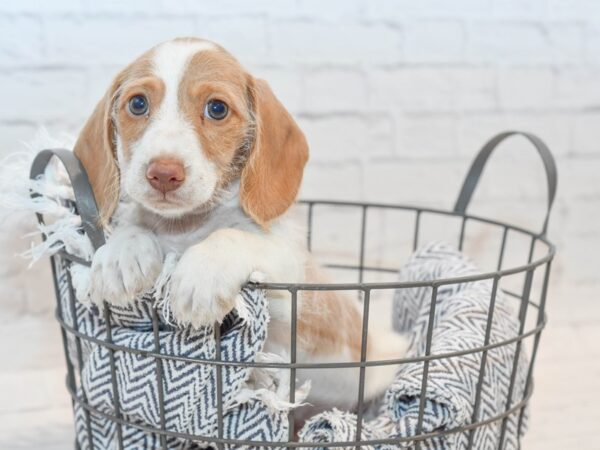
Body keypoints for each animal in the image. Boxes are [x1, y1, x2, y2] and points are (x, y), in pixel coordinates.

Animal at [72, 38, 406, 422]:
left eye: (217, 108)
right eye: (138, 103)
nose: (163, 173)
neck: (188, 226)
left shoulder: (290, 283)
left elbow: (234, 237)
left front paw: (201, 275)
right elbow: (135, 226)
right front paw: (121, 255)